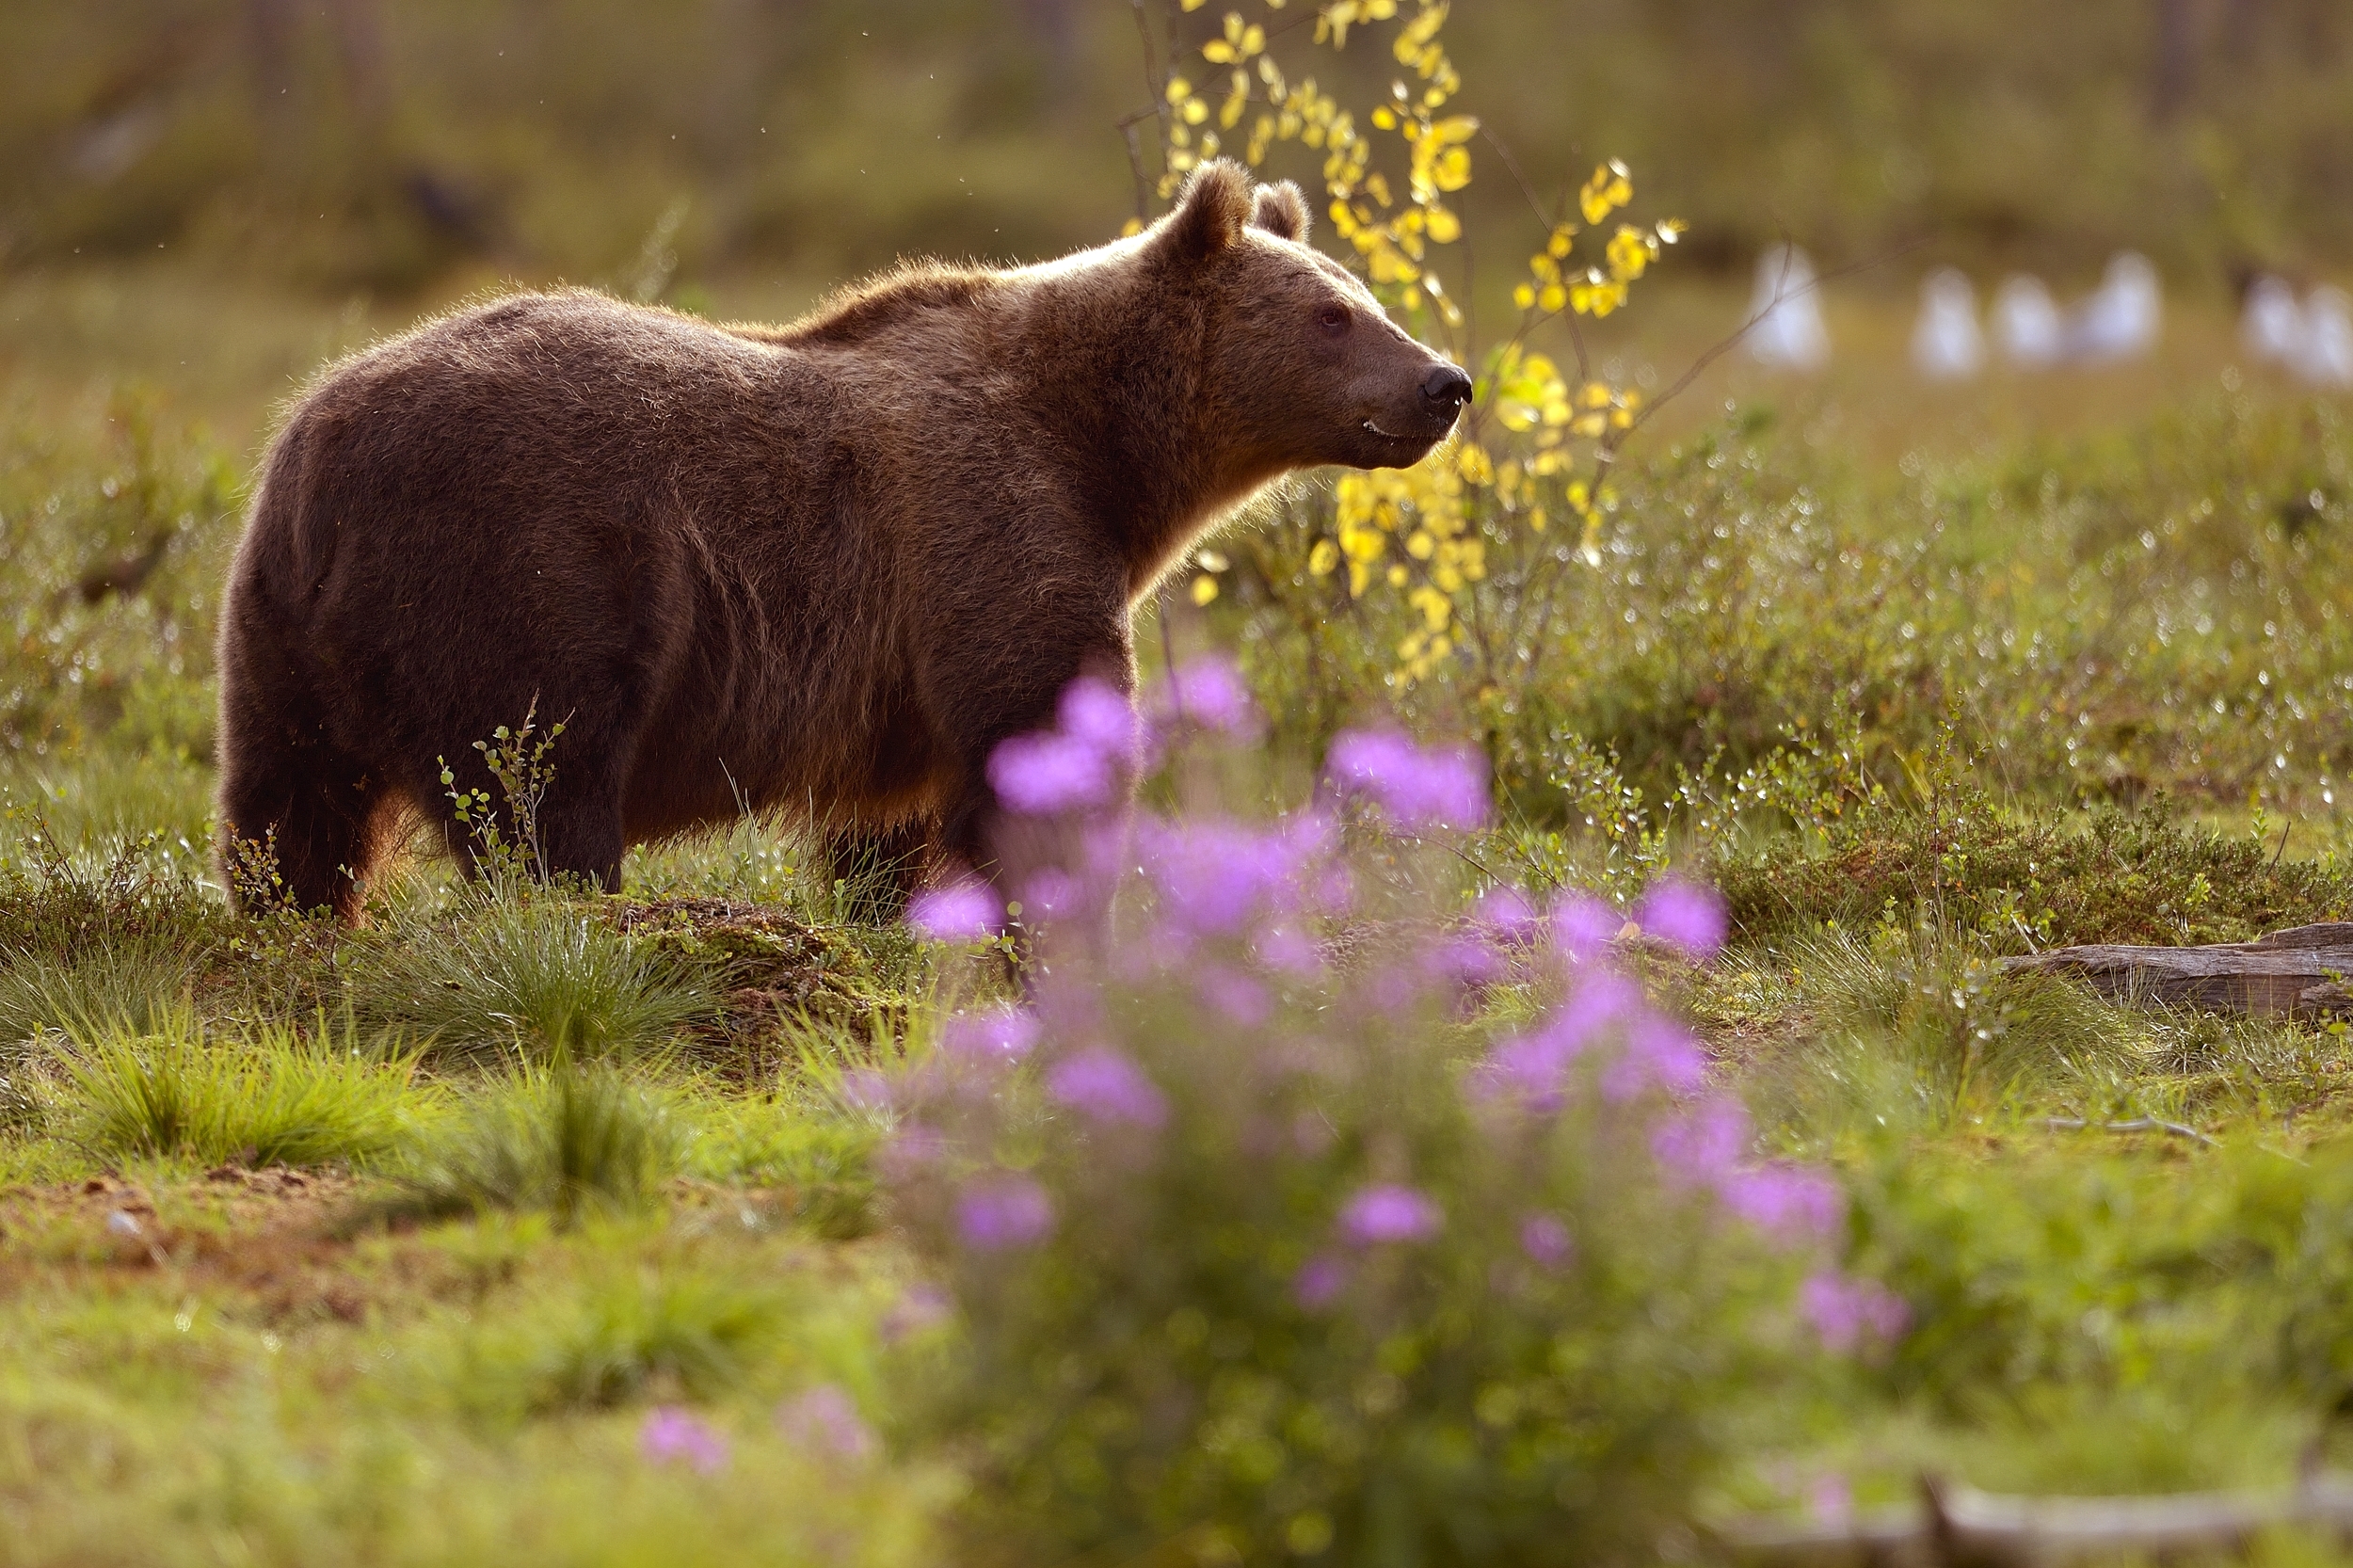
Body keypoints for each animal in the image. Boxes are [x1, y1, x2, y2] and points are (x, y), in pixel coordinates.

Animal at [213, 159, 1472, 921]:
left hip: (281, 624)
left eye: (1362, 292)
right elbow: (1042, 741)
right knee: (540, 782)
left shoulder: (903, 664)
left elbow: (893, 826)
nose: (1445, 383)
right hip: (525, 566)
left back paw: (293, 914)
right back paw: (578, 907)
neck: (1111, 452)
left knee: (291, 800)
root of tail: (319, 443)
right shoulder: (991, 524)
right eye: (1332, 314)